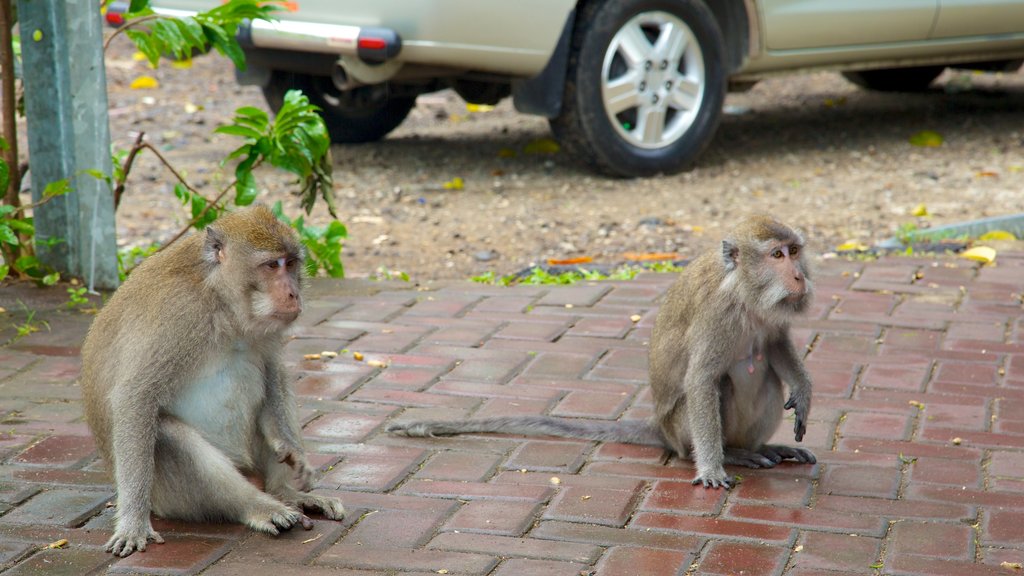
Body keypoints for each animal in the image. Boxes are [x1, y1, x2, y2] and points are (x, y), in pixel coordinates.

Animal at [79, 203, 344, 553]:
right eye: (271, 265)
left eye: (291, 263)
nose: (293, 293)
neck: (221, 302)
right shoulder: (178, 314)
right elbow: (136, 396)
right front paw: (133, 522)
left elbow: (273, 370)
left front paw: (290, 448)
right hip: (170, 498)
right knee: (167, 434)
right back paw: (260, 506)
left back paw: (286, 493)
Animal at [387, 215, 819, 487]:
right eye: (776, 255)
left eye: (795, 251)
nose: (799, 276)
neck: (744, 292)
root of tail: (661, 430)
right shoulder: (717, 316)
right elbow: (701, 381)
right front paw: (712, 467)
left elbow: (776, 346)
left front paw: (803, 391)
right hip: (681, 431)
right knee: (719, 389)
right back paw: (734, 453)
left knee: (766, 373)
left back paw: (760, 447)